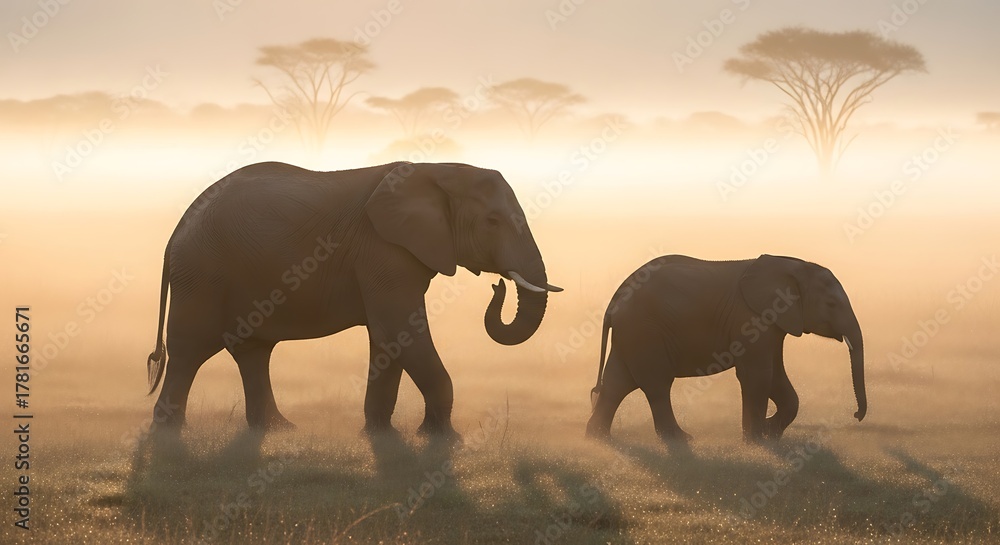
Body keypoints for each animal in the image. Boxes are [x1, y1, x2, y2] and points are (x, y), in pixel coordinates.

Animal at [145, 161, 561, 437]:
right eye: (492, 221)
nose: (498, 286)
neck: (437, 169)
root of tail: (178, 227)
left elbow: (389, 337)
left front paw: (380, 433)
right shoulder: (383, 250)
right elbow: (400, 331)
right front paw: (442, 439)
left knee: (252, 351)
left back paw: (280, 429)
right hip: (202, 274)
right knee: (190, 350)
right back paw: (169, 432)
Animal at [585, 254, 865, 443]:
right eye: (831, 304)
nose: (855, 415)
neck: (792, 265)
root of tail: (614, 300)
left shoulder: (773, 323)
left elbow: (775, 375)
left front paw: (770, 434)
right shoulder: (751, 318)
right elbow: (758, 375)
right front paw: (756, 441)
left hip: (632, 335)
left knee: (617, 383)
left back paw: (597, 438)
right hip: (645, 332)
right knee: (656, 385)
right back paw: (682, 439)